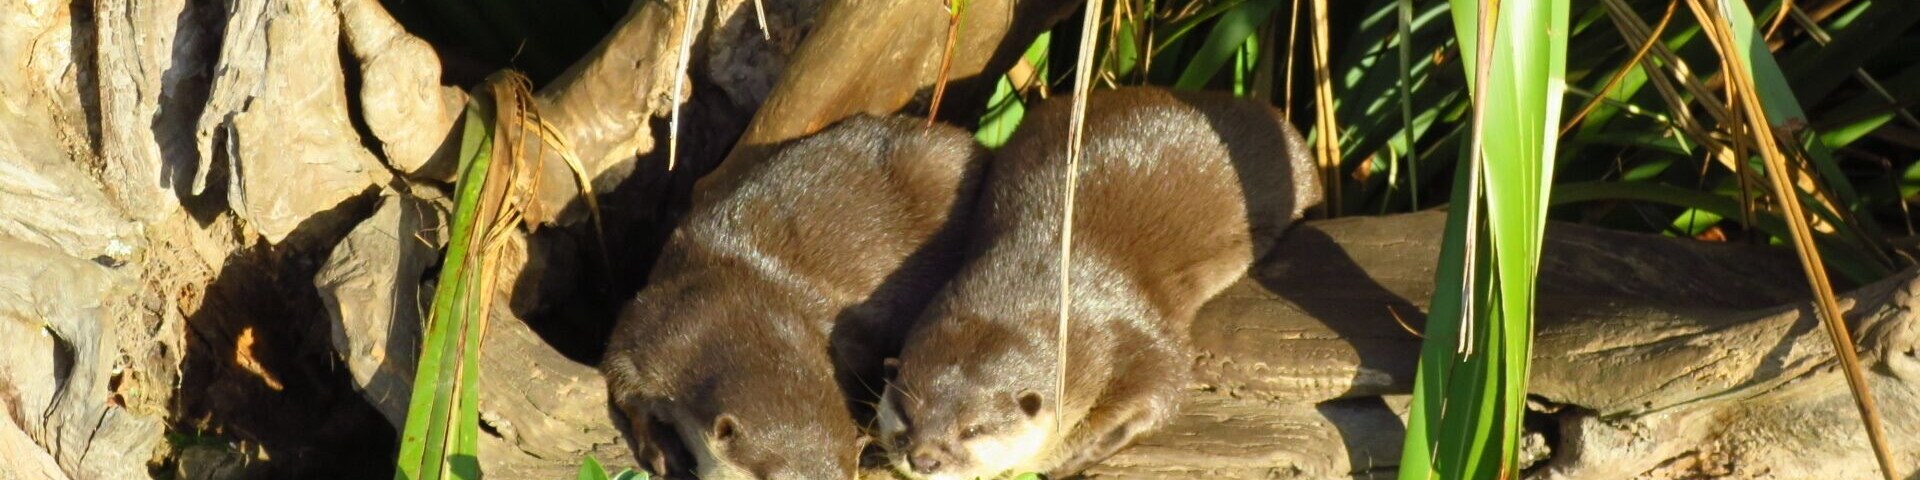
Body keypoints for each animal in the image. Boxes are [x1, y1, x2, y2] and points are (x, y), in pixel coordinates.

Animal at [875, 87, 1320, 479]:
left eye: (972, 429)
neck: (1040, 280)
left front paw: (1077, 454)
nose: (924, 459)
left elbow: (1164, 385)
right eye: (906, 413)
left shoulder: (1129, 326)